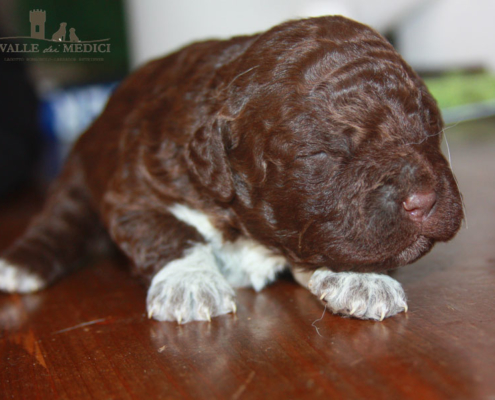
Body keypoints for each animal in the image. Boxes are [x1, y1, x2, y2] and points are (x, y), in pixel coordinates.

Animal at [0, 16, 464, 322]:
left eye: (430, 128)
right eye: (321, 155)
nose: (423, 200)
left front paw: (361, 278)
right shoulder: (133, 190)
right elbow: (170, 232)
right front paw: (189, 283)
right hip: (81, 169)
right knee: (62, 216)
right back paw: (23, 264)